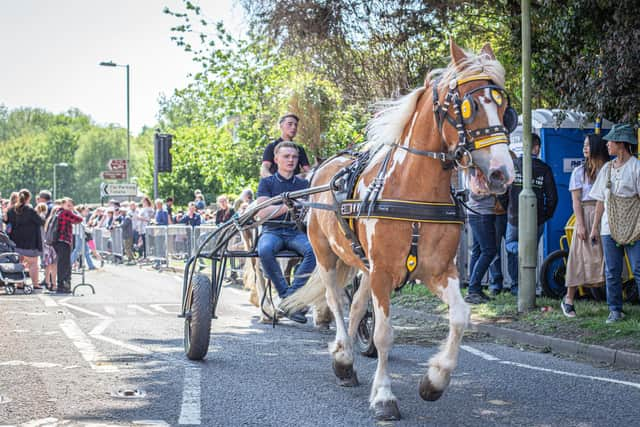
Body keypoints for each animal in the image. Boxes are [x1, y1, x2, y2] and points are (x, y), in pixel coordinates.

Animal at [282, 40, 516, 422]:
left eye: (504, 107)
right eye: (468, 106)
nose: (501, 172)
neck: (413, 188)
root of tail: (324, 168)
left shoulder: (438, 271)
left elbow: (460, 317)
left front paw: (435, 380)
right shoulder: (383, 273)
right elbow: (384, 334)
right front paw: (384, 397)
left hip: (365, 265)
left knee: (356, 306)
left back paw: (344, 361)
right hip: (326, 254)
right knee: (334, 301)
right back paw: (343, 353)